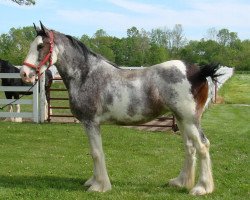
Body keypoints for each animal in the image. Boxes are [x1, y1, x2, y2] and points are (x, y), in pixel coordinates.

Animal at [20, 21, 221, 195]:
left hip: (189, 120)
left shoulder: (91, 122)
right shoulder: (90, 124)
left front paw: (99, 186)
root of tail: (198, 72)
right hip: (181, 119)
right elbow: (95, 152)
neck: (86, 75)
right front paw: (94, 181)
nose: (24, 73)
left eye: (40, 46)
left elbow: (96, 153)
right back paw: (180, 182)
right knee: (190, 147)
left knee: (202, 145)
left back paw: (202, 188)